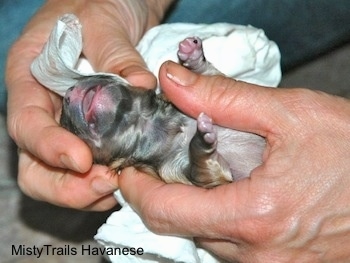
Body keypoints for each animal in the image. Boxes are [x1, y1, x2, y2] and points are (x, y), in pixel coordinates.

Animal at [60, 37, 264, 190]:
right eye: (66, 124)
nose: (69, 92)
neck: (149, 124)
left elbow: (210, 73)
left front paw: (191, 56)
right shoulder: (173, 171)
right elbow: (206, 174)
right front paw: (202, 139)